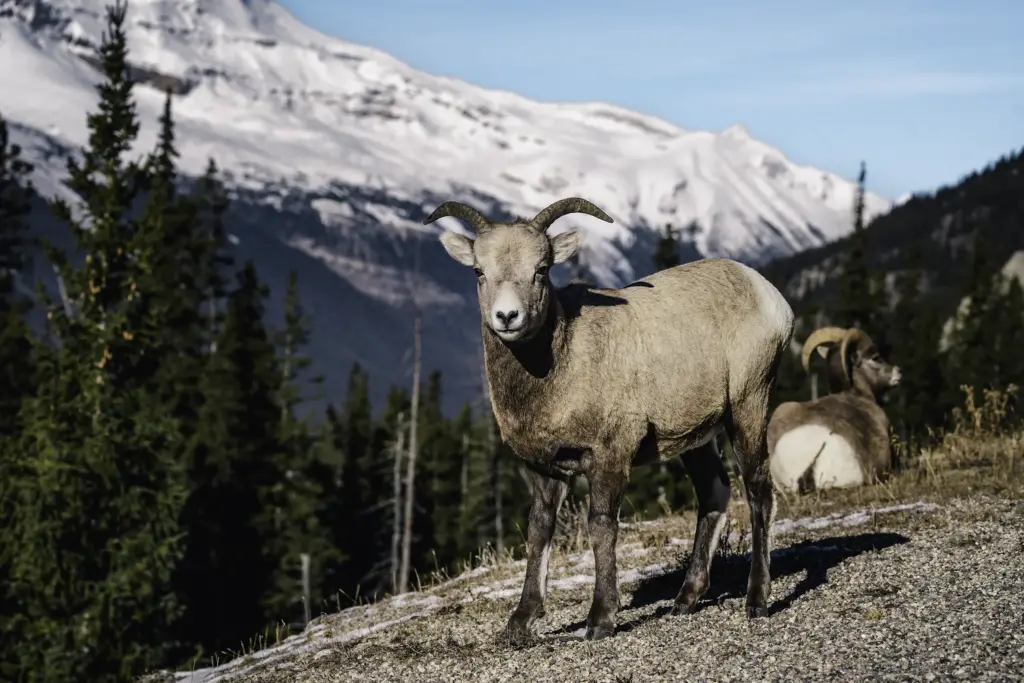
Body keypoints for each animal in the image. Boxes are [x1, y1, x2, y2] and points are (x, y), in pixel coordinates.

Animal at [423, 196, 790, 643]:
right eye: (479, 271)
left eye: (541, 270)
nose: (507, 317)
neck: (561, 366)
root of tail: (768, 295)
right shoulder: (545, 468)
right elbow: (539, 529)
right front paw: (520, 623)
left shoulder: (610, 455)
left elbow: (600, 526)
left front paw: (600, 620)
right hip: (697, 436)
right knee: (714, 493)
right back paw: (684, 601)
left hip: (748, 404)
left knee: (758, 491)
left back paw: (757, 601)